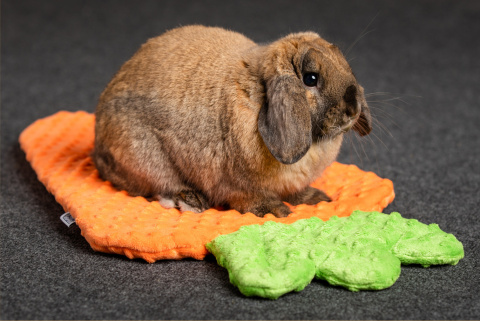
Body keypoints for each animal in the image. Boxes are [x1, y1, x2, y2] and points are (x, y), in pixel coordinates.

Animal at [93, 24, 372, 215]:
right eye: (310, 78)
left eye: (344, 65)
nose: (353, 109)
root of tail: (97, 147)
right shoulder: (236, 185)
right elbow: (249, 199)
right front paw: (275, 211)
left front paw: (317, 198)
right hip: (145, 157)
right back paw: (190, 200)